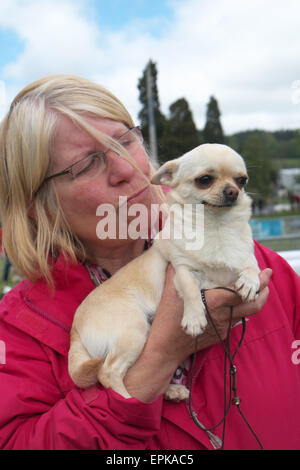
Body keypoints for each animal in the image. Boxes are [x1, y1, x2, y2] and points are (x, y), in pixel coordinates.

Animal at [68, 142, 260, 400]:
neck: (215, 228)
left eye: (242, 181)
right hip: (133, 330)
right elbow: (190, 287)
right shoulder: (181, 268)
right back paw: (130, 401)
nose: (232, 192)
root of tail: (75, 329)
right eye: (205, 180)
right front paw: (194, 317)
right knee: (108, 373)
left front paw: (249, 282)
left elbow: (252, 266)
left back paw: (171, 391)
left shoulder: (244, 256)